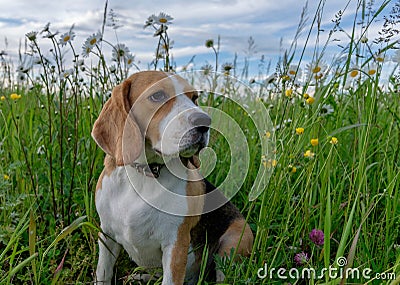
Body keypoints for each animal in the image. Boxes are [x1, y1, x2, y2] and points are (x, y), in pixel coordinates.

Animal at [91, 71, 253, 284]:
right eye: (158, 95)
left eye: (194, 98)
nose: (205, 121)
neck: (145, 172)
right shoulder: (106, 235)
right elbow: (103, 273)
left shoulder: (175, 246)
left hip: (233, 243)